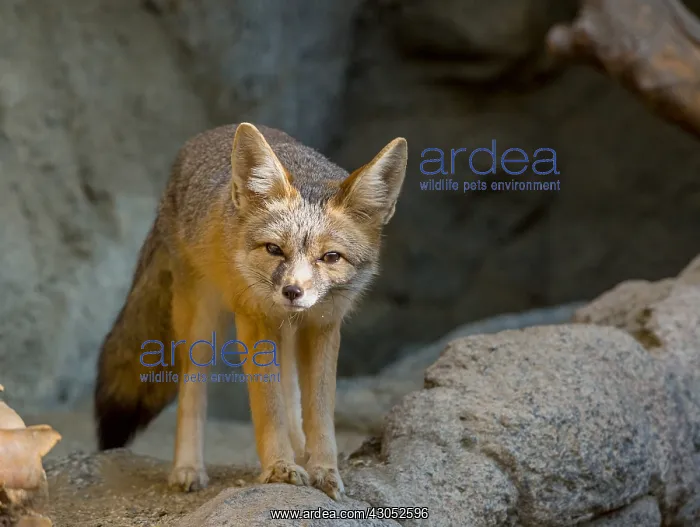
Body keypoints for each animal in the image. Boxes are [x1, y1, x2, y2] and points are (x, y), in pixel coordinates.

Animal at [93, 122, 407, 499]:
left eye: (330, 257)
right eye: (274, 249)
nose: (292, 292)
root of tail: (207, 136)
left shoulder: (323, 326)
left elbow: (319, 411)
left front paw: (324, 471)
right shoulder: (256, 322)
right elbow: (268, 407)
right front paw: (280, 467)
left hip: (284, 331)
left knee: (289, 387)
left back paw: (298, 448)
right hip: (202, 322)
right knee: (193, 388)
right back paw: (188, 468)